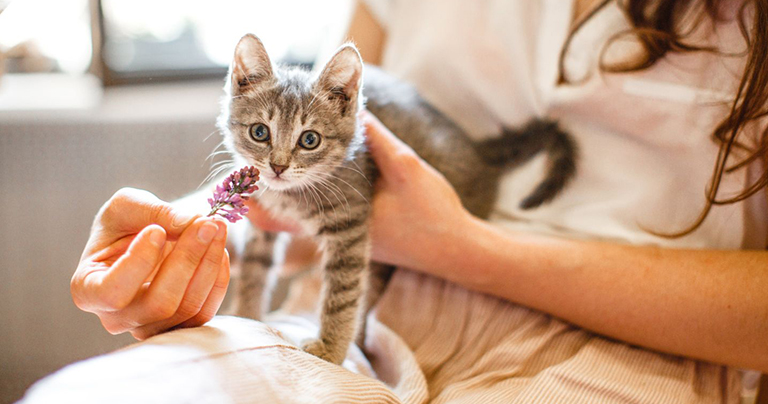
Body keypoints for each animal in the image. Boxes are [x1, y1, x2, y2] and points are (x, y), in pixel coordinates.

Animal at [218, 33, 576, 364]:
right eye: (259, 132)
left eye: (309, 140)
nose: (278, 167)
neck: (291, 194)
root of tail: (477, 152)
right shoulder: (263, 224)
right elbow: (254, 269)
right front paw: (247, 317)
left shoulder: (351, 224)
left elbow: (343, 292)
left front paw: (331, 349)